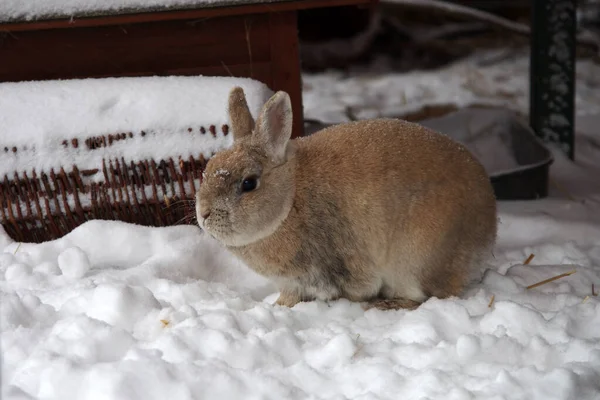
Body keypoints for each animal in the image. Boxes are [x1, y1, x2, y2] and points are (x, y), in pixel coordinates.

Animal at [196, 86, 496, 310]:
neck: (290, 200)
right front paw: (278, 306)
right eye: (207, 169)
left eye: (248, 183)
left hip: (413, 261)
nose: (203, 214)